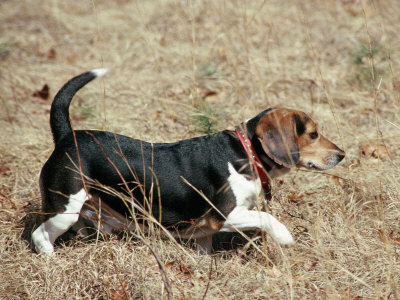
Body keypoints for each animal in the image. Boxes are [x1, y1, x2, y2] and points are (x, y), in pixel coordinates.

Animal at [31, 69, 346, 254]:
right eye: (314, 134)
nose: (342, 154)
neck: (245, 153)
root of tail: (67, 136)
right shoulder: (224, 216)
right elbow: (265, 217)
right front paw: (284, 236)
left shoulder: (205, 232)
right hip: (64, 209)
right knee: (39, 235)